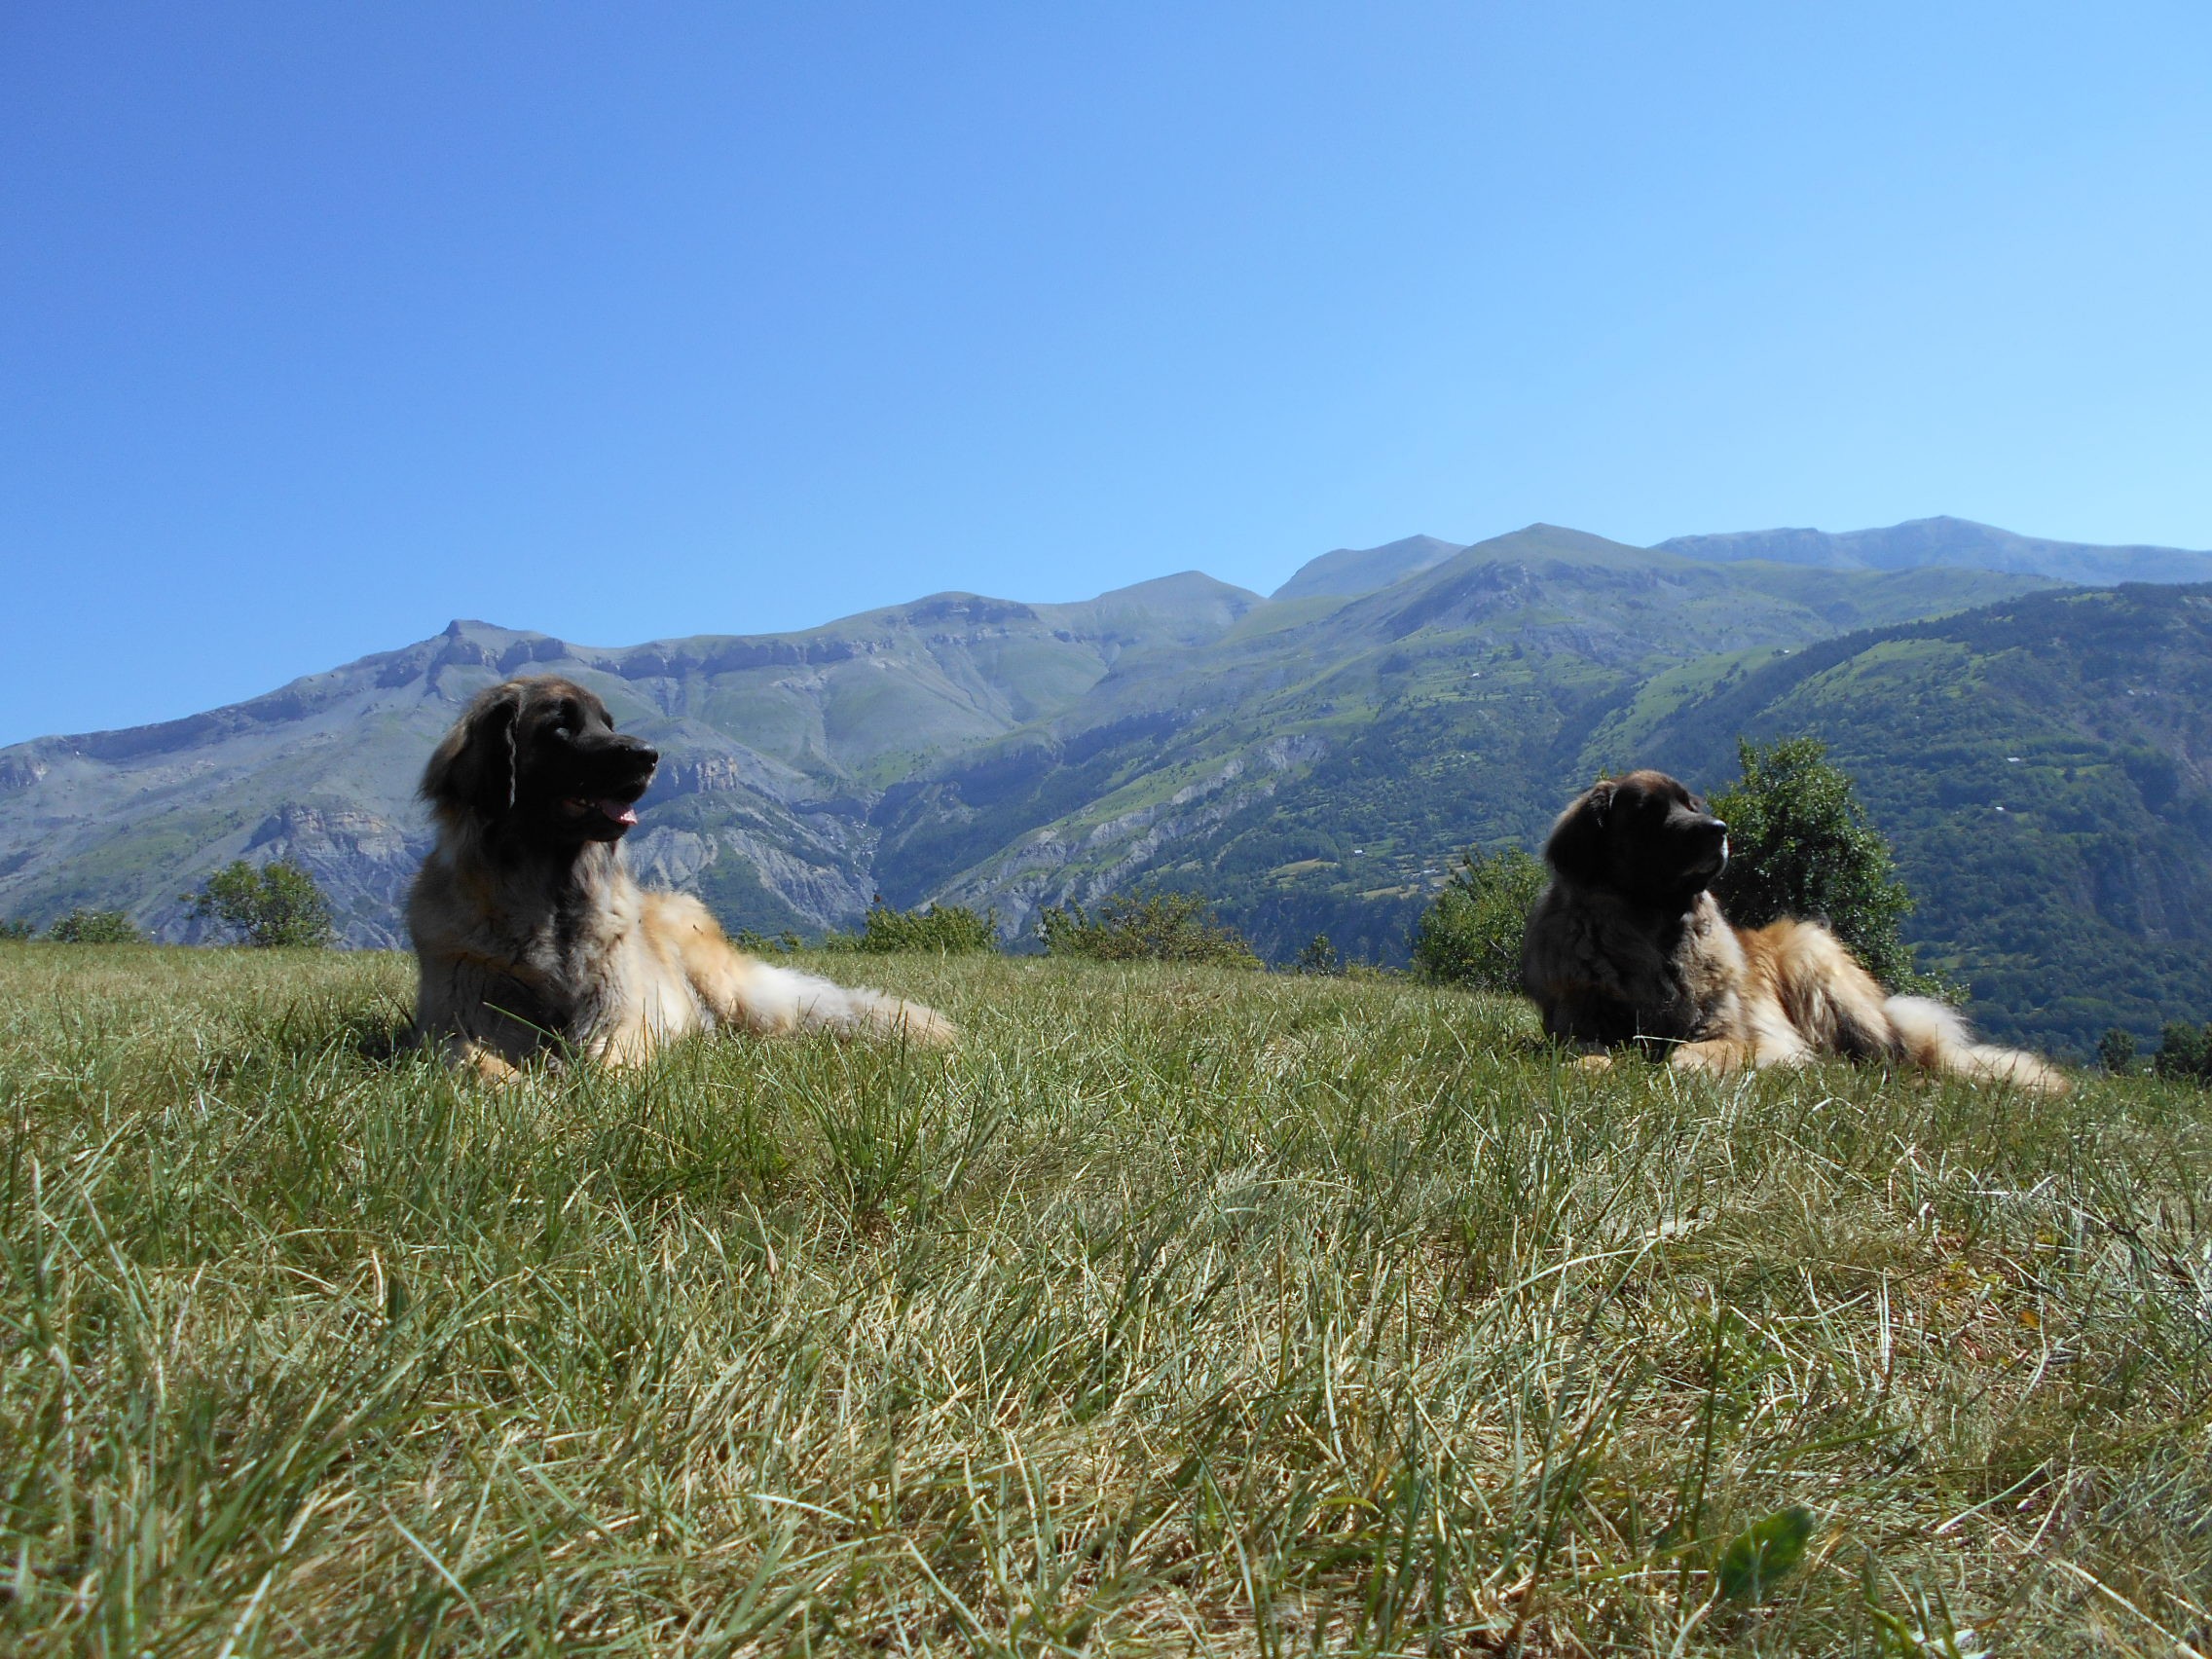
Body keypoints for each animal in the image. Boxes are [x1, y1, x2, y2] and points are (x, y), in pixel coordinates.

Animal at [404, 677, 950, 1079]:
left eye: (607, 723)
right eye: (560, 726)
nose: (649, 754)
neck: (549, 901)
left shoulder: (618, 1011)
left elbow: (605, 1060)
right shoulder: (460, 1012)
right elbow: (472, 1058)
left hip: (723, 986)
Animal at [1513, 765, 2061, 1092]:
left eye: (1692, 804)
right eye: (1648, 811)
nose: (1719, 830)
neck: (1654, 936)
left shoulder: (1729, 1031)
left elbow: (1703, 1051)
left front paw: (1685, 1068)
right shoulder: (1579, 1022)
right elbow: (1585, 1051)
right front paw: (1590, 1069)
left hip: (1813, 959)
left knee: (1897, 1060)